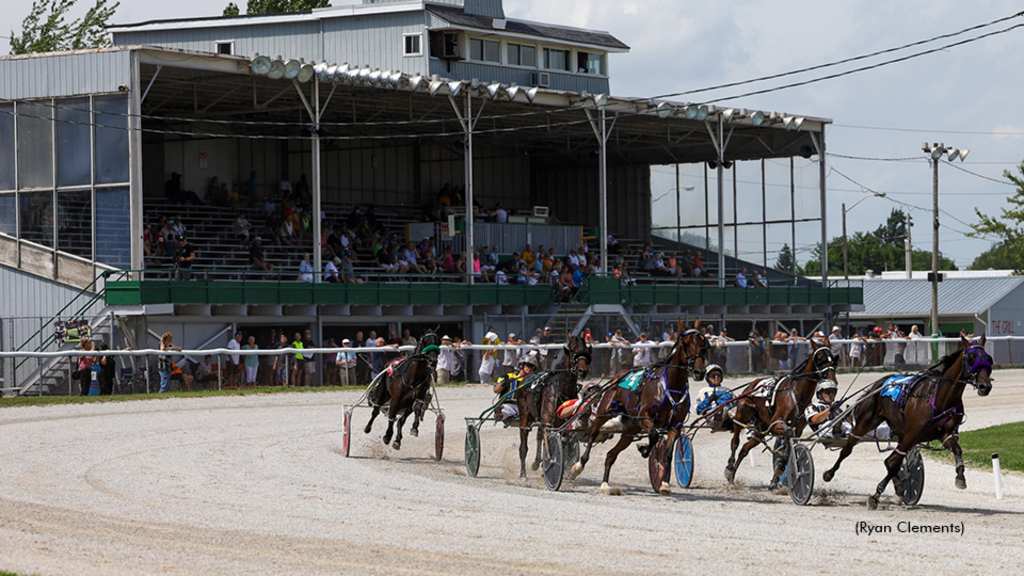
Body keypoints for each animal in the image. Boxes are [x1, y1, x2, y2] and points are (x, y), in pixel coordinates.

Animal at [573, 317, 708, 494]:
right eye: (686, 343)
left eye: (703, 343)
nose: (699, 372)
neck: (670, 386)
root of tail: (619, 374)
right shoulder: (645, 417)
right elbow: (654, 436)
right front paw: (644, 450)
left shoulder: (675, 425)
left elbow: (668, 453)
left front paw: (664, 483)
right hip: (605, 411)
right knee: (594, 432)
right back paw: (579, 465)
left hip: (631, 429)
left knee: (611, 454)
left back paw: (605, 484)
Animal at [724, 334, 835, 485]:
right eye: (819, 357)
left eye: (832, 357)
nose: (832, 378)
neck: (797, 393)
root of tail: (752, 385)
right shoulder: (776, 423)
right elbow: (787, 434)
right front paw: (781, 466)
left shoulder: (797, 428)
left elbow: (790, 441)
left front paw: (779, 471)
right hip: (743, 411)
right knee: (735, 441)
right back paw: (730, 467)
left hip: (761, 428)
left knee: (745, 448)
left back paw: (733, 473)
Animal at [823, 332, 991, 506]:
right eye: (971, 357)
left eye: (988, 358)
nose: (985, 386)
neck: (939, 398)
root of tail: (878, 383)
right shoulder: (913, 433)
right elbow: (893, 464)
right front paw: (875, 496)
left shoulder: (945, 434)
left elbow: (957, 450)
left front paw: (960, 478)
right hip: (866, 423)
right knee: (848, 449)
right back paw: (829, 473)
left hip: (900, 432)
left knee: (889, 460)